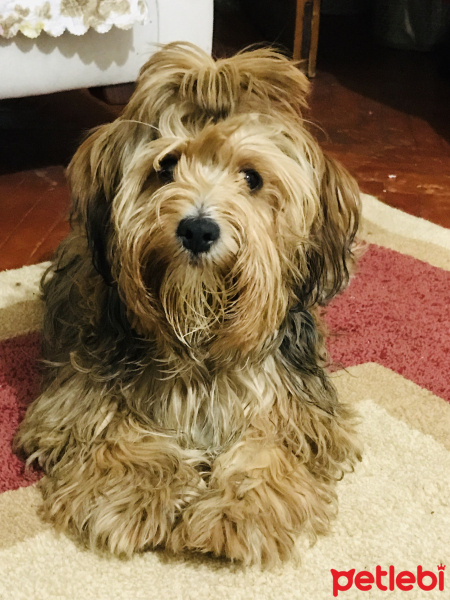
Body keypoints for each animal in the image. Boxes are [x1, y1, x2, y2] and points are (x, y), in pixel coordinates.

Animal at [14, 43, 362, 568]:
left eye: (251, 178)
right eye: (166, 167)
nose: (198, 229)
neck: (195, 335)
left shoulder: (300, 408)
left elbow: (270, 444)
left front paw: (240, 513)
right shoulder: (75, 399)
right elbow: (114, 430)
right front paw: (138, 495)